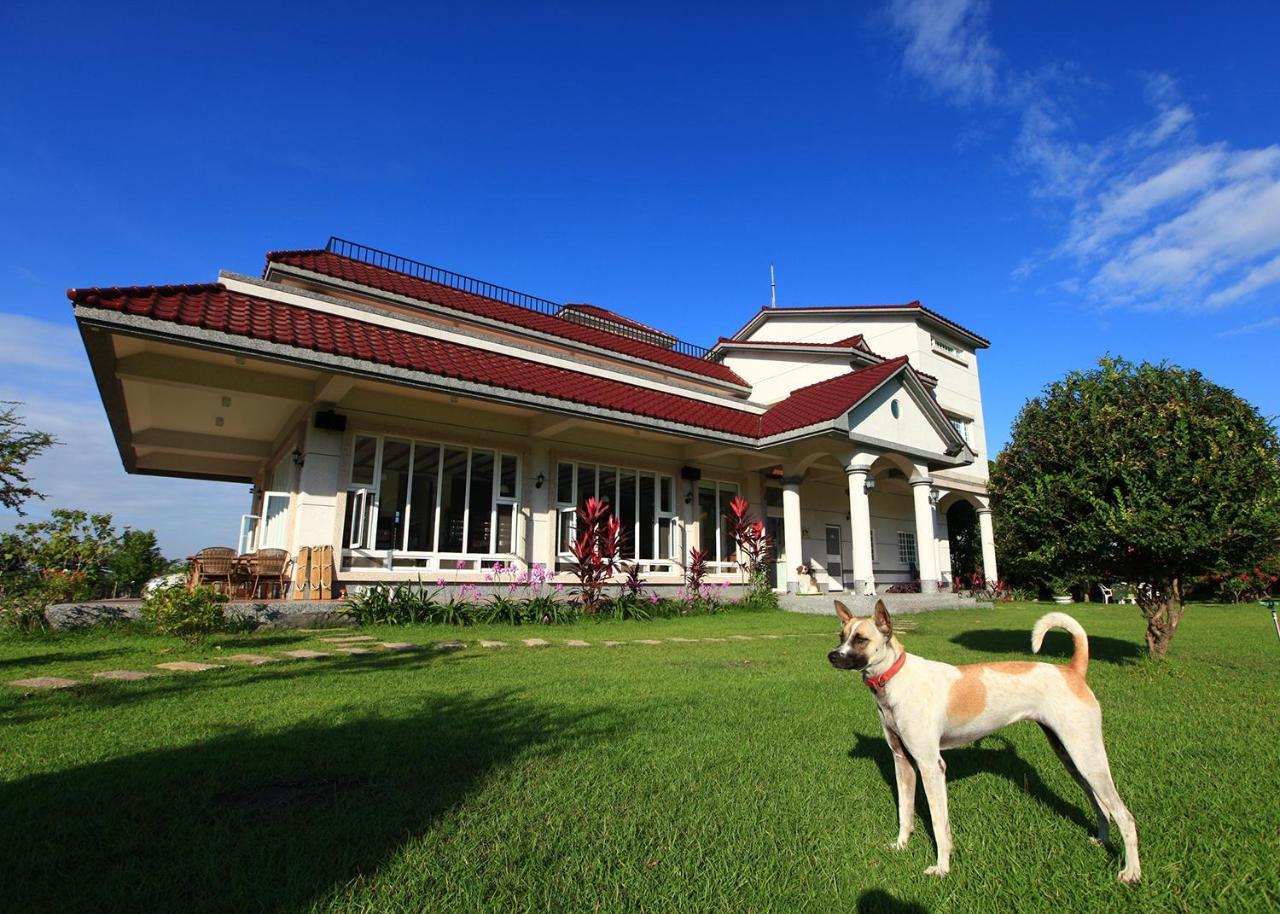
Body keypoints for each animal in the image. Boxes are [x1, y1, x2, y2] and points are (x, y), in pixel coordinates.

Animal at [829, 599, 1141, 880]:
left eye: (860, 639)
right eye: (842, 636)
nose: (832, 656)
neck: (896, 678)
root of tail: (1072, 670)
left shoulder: (931, 766)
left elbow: (939, 823)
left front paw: (942, 868)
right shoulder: (902, 761)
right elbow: (905, 813)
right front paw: (901, 845)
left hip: (1087, 757)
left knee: (1125, 816)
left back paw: (1131, 872)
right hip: (1072, 758)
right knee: (1102, 806)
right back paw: (1102, 840)